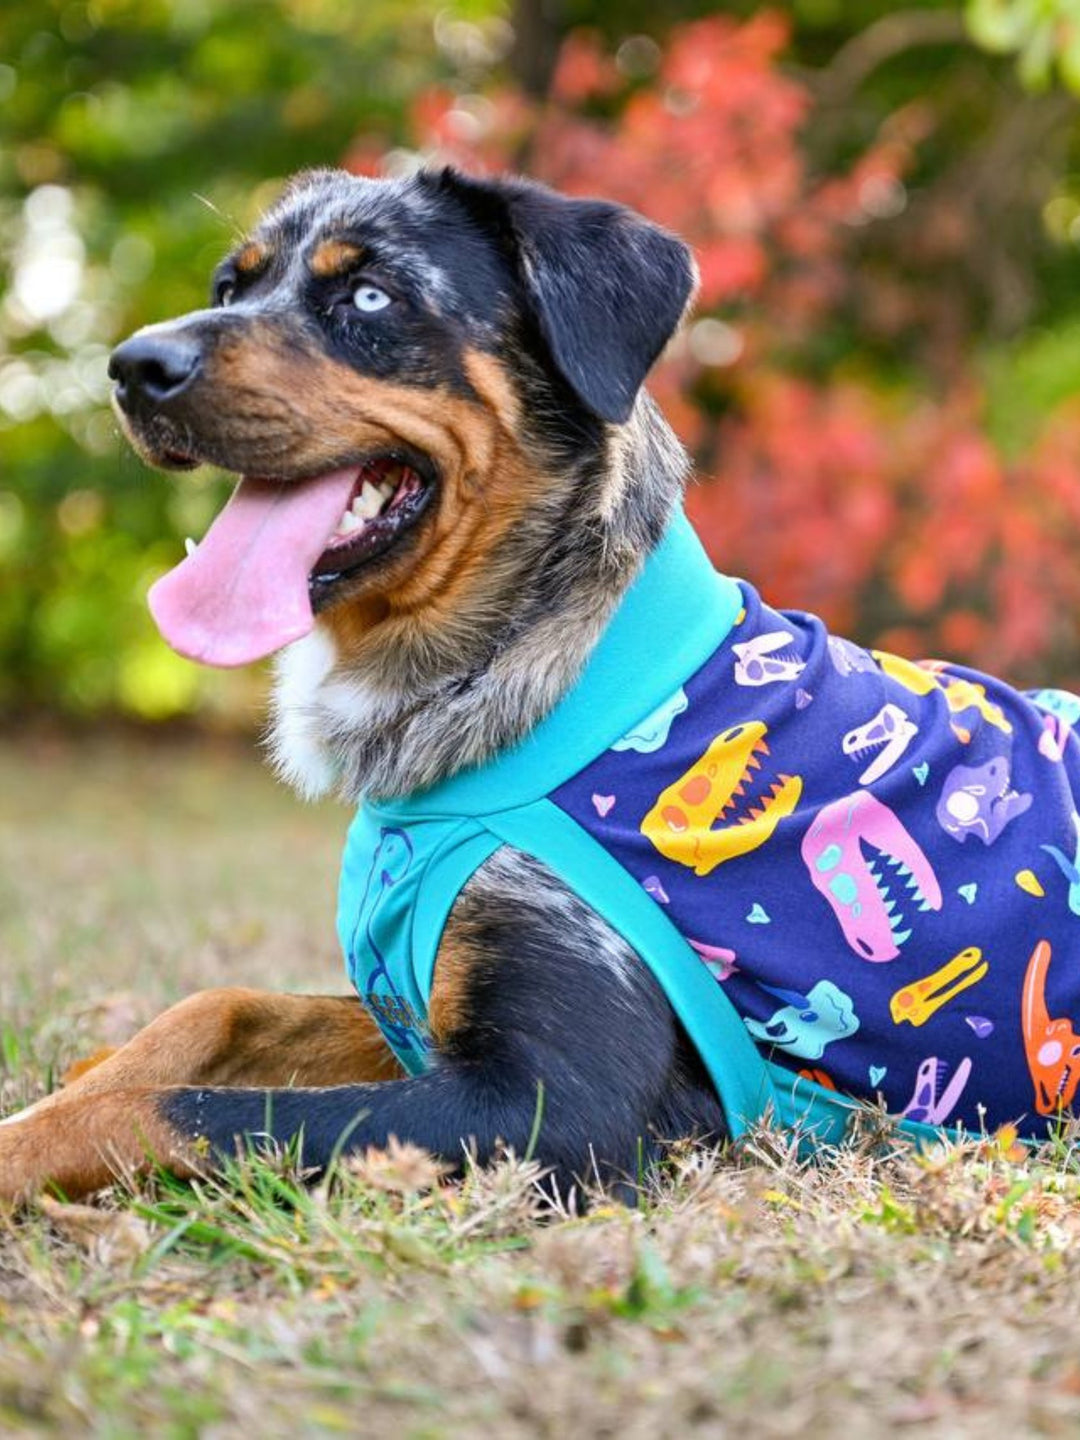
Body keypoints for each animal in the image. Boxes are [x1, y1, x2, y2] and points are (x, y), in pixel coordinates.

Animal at [2, 165, 1080, 1203]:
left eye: (369, 294)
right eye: (232, 287)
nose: (135, 366)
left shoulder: (553, 1102)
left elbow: (172, 1111)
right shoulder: (412, 1017)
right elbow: (208, 1012)